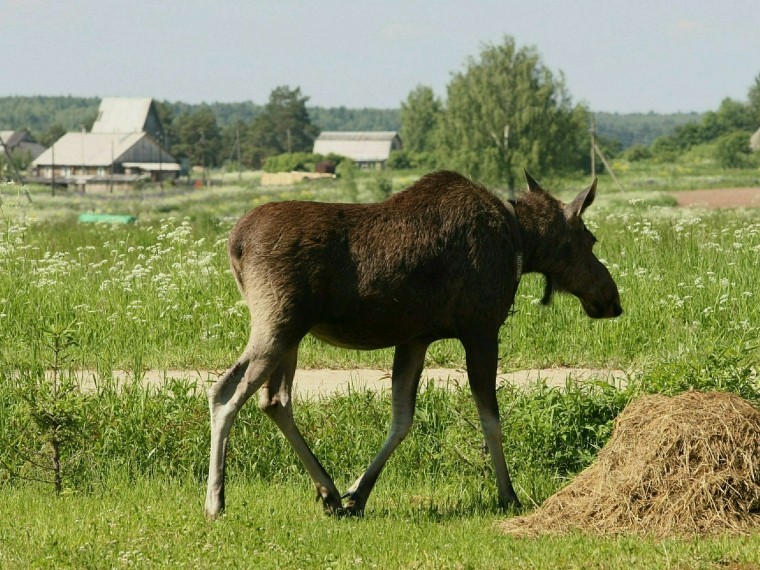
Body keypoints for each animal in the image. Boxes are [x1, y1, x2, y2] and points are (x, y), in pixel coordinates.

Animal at [205, 166, 620, 516]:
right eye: (590, 239)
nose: (611, 298)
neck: (521, 242)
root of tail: (234, 244)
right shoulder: (481, 329)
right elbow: (491, 421)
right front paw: (508, 495)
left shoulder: (416, 338)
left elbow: (401, 419)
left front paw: (358, 492)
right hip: (278, 322)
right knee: (226, 391)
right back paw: (216, 501)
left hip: (292, 332)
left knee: (275, 400)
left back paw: (329, 491)